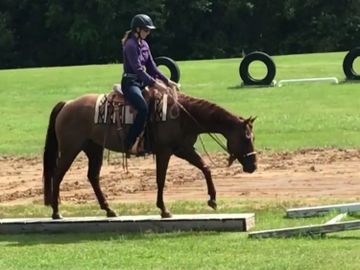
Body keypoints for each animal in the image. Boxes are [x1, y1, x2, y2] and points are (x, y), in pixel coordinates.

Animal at [43, 89, 256, 219]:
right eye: (246, 138)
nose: (253, 166)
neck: (183, 115)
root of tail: (67, 104)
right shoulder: (165, 151)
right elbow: (160, 179)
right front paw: (164, 209)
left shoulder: (184, 149)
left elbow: (205, 168)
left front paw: (212, 199)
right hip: (70, 149)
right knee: (57, 174)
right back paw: (56, 212)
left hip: (94, 148)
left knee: (93, 176)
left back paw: (109, 209)